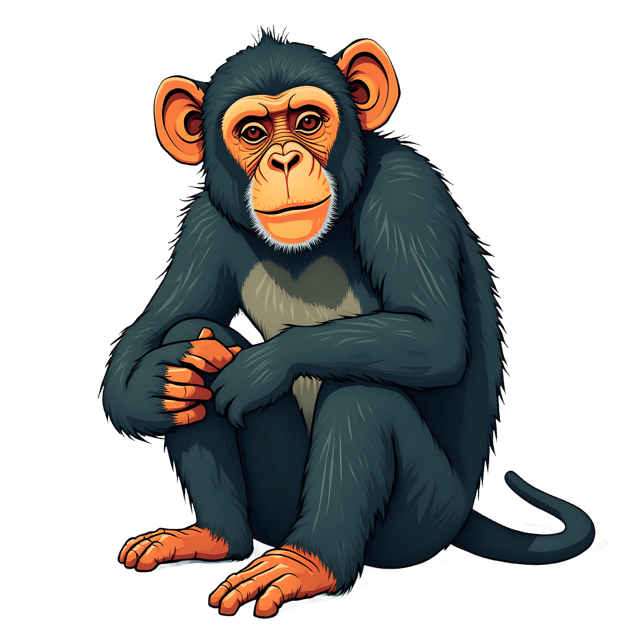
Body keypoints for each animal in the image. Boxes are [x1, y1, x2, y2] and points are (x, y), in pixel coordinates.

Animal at [100, 26, 595, 618]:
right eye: (252, 132)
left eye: (309, 122)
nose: (285, 161)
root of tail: (461, 518)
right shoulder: (203, 225)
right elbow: (151, 332)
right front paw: (154, 386)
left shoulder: (406, 195)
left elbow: (434, 336)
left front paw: (263, 367)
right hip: (277, 507)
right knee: (192, 342)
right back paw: (213, 534)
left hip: (422, 518)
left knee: (364, 396)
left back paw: (306, 564)